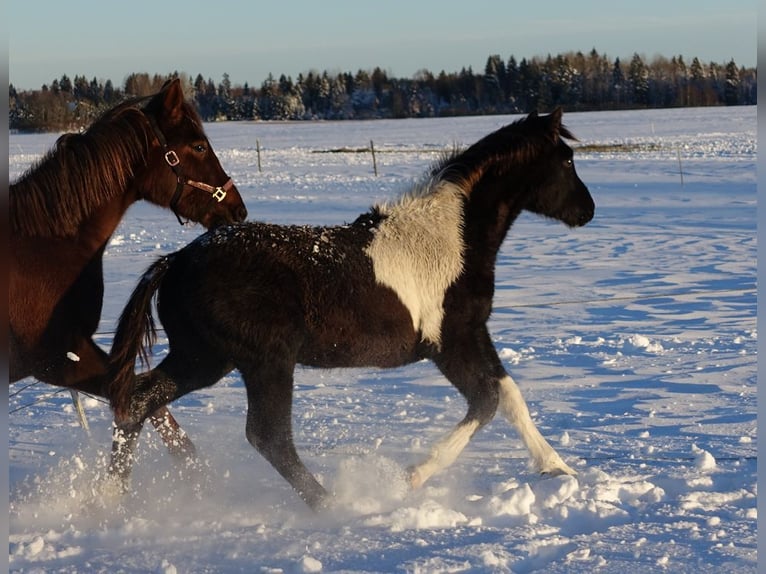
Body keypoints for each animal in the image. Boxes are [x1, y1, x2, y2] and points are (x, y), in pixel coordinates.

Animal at [108, 109, 596, 512]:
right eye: (567, 161)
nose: (588, 211)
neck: (450, 238)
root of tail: (176, 261)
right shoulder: (449, 342)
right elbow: (487, 400)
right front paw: (413, 475)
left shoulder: (473, 333)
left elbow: (510, 397)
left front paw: (557, 467)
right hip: (264, 362)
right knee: (269, 437)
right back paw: (333, 505)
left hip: (205, 358)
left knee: (138, 402)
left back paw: (109, 500)